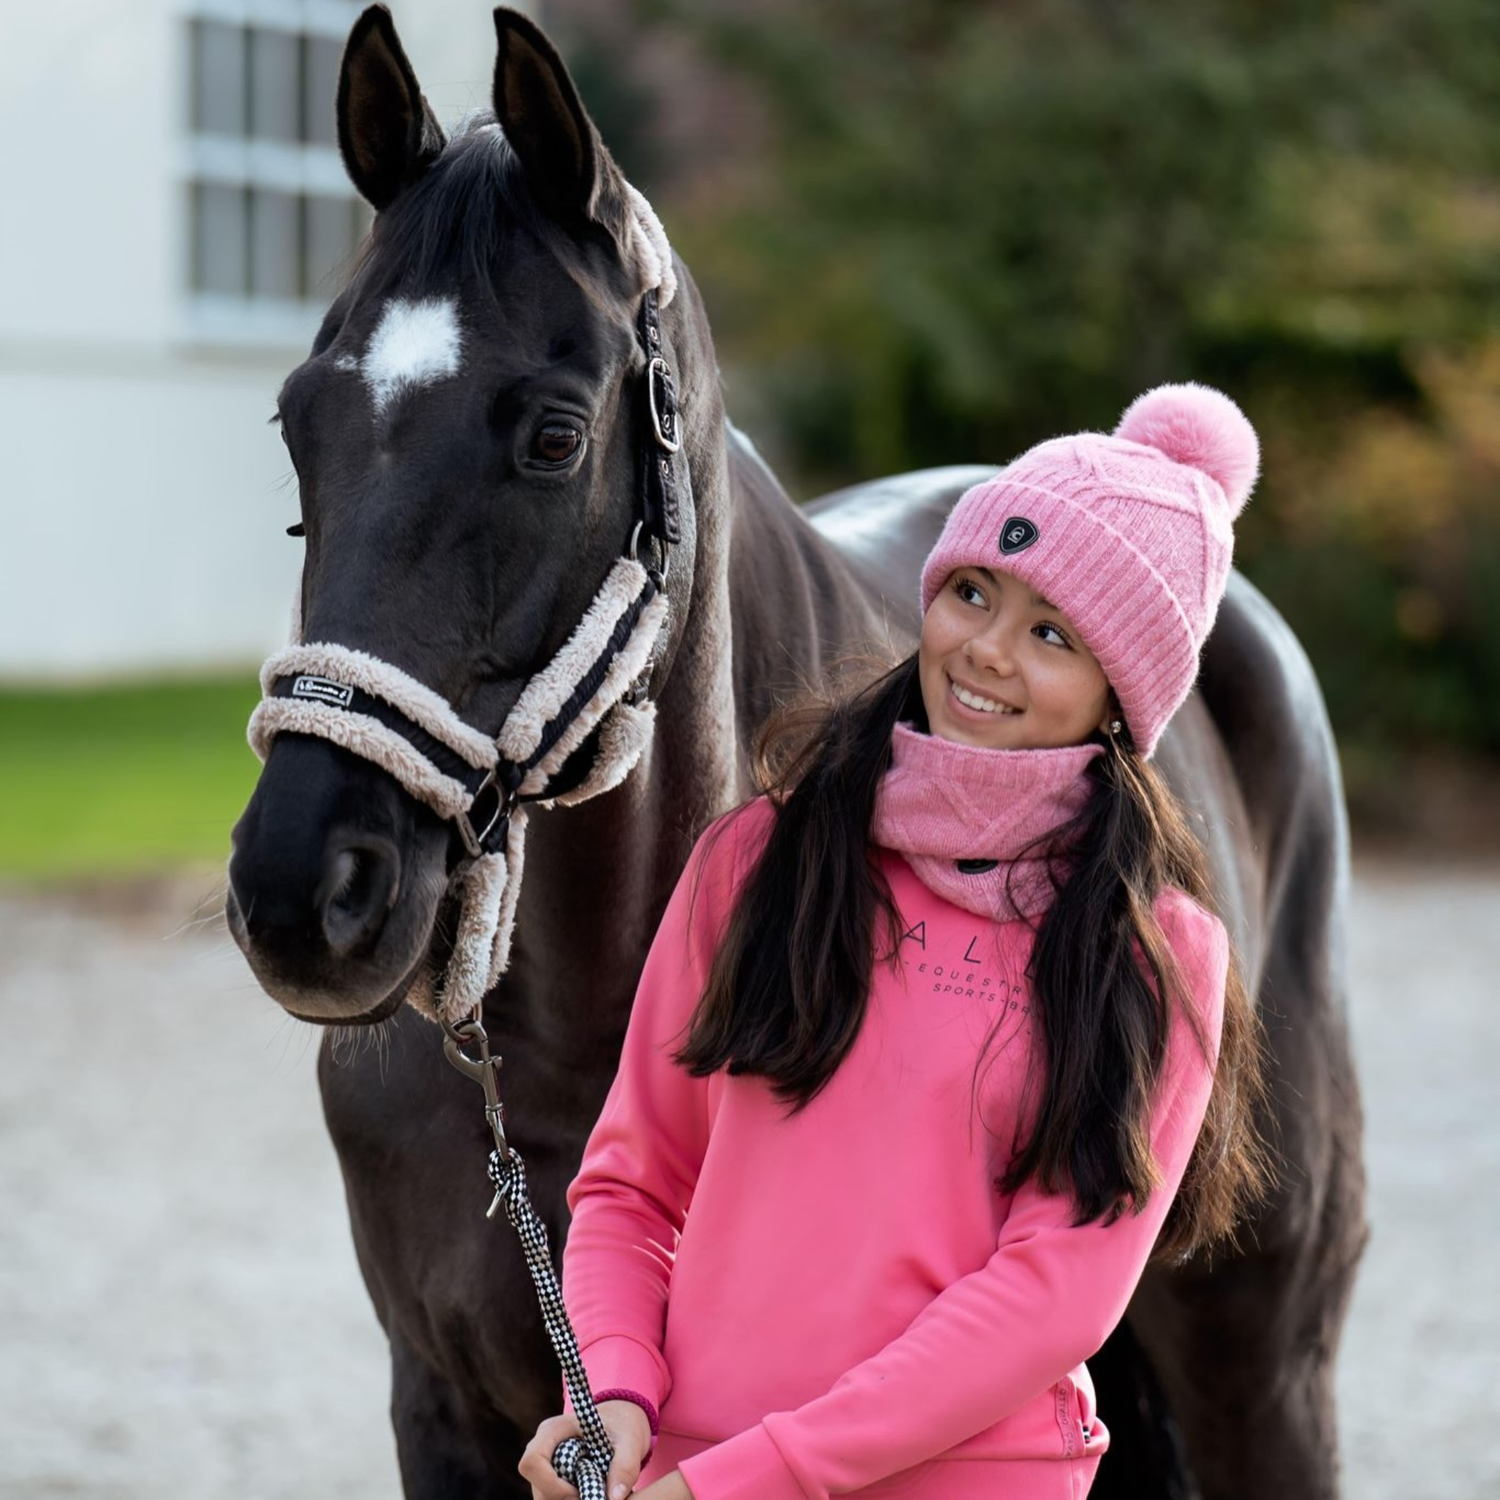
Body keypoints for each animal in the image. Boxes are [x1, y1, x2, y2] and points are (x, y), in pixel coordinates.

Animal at [225, 8, 1367, 1498]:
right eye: (299, 420)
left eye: (554, 434)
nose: (306, 890)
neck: (559, 1052)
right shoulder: (446, 1411)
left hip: (1264, 1374)